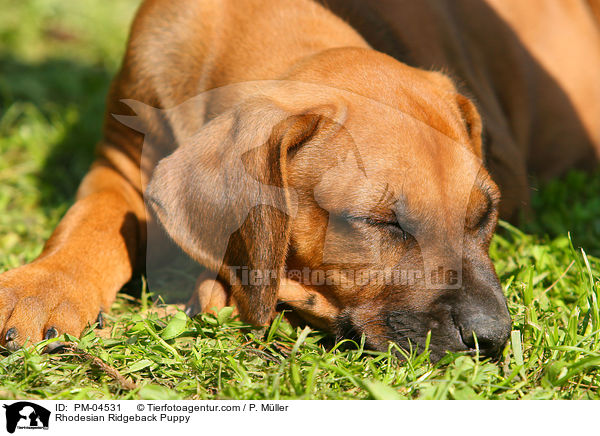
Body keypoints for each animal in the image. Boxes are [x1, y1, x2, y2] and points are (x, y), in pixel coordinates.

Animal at [1, 0, 600, 362]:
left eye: (485, 216)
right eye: (381, 223)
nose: (492, 338)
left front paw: (222, 287)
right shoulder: (121, 158)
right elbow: (90, 220)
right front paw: (39, 288)